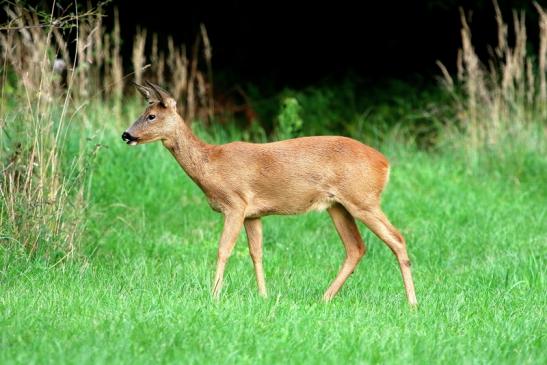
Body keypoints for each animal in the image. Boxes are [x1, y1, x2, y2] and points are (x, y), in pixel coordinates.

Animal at [122, 81, 418, 306]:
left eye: (151, 116)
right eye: (142, 112)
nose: (126, 134)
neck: (211, 165)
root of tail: (385, 163)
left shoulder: (235, 203)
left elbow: (223, 249)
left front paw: (214, 296)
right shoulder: (254, 214)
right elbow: (257, 253)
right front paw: (264, 296)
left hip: (363, 199)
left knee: (397, 239)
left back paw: (412, 304)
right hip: (338, 206)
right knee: (356, 247)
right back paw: (324, 298)